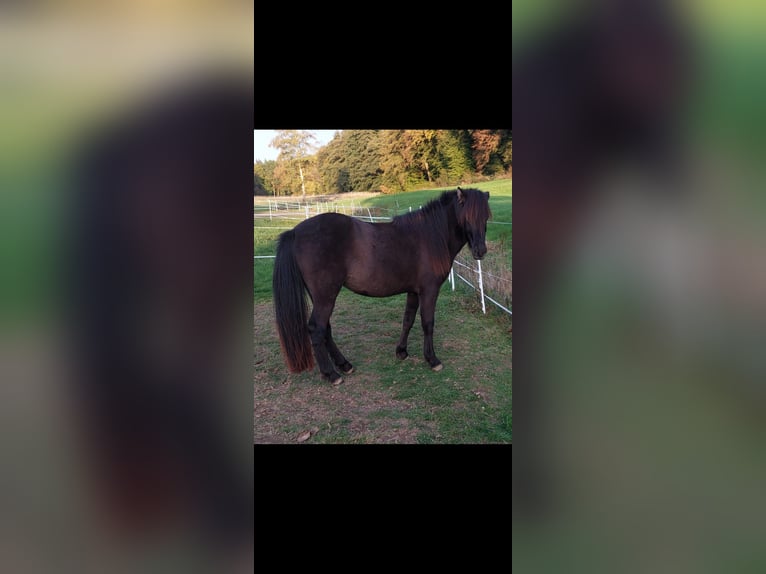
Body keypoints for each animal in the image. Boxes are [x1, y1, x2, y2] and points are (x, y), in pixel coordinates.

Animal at [272, 187, 492, 385]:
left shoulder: (414, 291)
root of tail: (295, 232)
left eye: (486, 218)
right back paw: (332, 375)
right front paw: (432, 359)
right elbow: (427, 323)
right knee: (317, 329)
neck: (429, 236)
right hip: (326, 296)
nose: (480, 251)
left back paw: (344, 365)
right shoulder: (429, 290)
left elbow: (408, 320)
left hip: (321, 296)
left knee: (325, 329)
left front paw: (401, 351)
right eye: (467, 216)